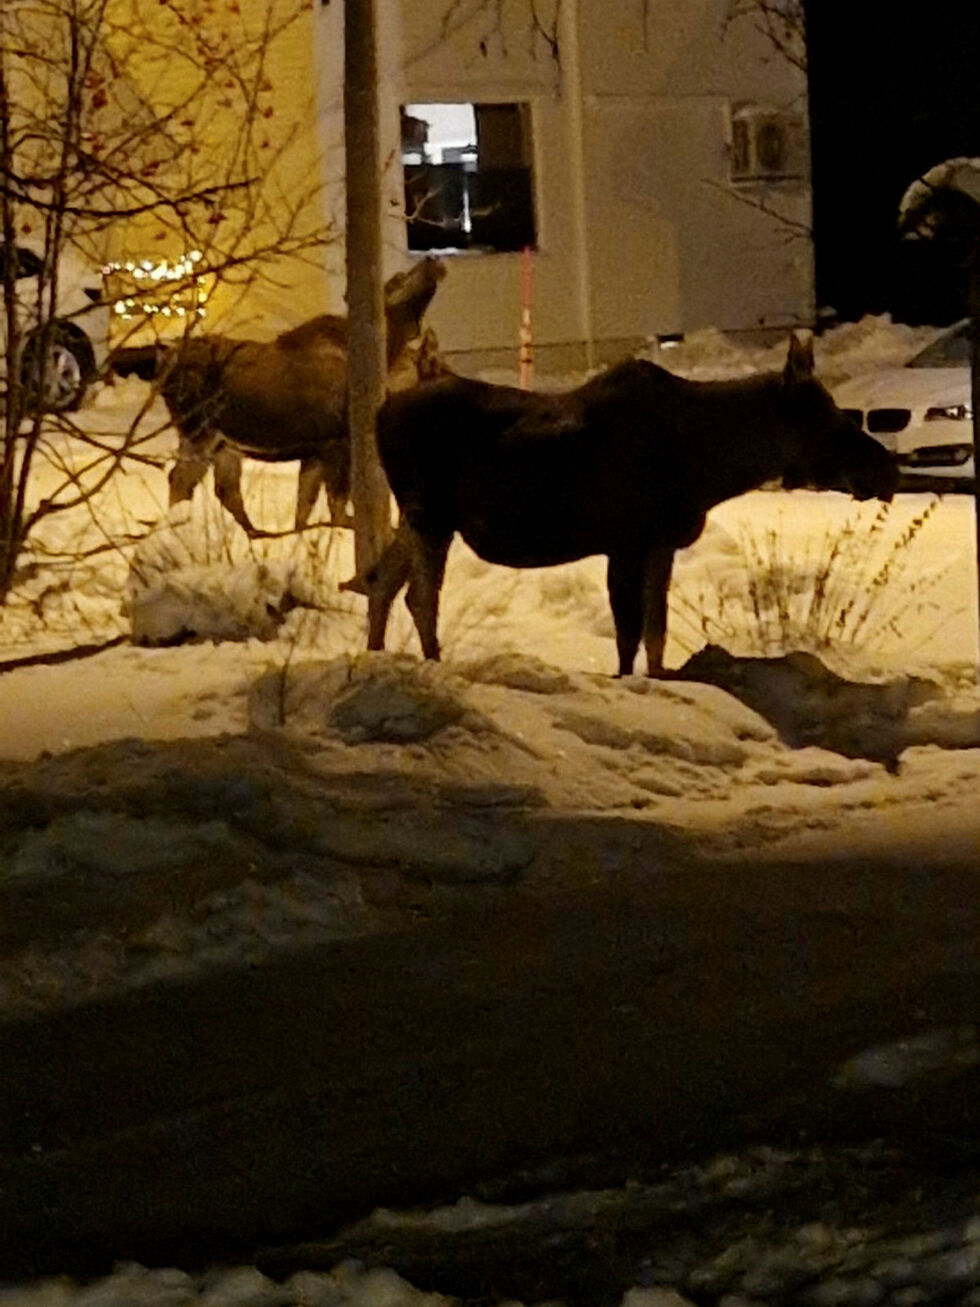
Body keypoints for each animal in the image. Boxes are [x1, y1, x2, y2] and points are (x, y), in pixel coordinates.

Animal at [111, 257, 444, 533]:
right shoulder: (339, 439)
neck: (385, 354)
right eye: (397, 280)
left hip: (223, 442)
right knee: (181, 479)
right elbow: (336, 506)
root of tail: (161, 359)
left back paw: (254, 534)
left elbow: (303, 509)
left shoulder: (315, 450)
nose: (433, 259)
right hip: (199, 430)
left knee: (225, 490)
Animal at [365, 331, 904, 679]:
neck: (709, 467)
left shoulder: (660, 544)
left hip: (417, 518)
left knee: (382, 582)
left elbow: (655, 633)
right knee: (420, 596)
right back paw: (433, 667)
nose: (887, 469)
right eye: (826, 419)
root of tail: (379, 414)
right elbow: (628, 637)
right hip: (431, 516)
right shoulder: (624, 542)